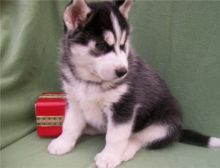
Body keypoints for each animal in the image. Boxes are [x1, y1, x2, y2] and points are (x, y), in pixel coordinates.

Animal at [48, 0, 220, 168]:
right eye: (101, 45)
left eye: (123, 44)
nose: (123, 72)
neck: (91, 81)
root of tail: (179, 130)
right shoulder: (74, 100)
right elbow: (70, 125)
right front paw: (63, 143)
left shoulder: (124, 106)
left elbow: (115, 136)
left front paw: (109, 157)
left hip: (164, 123)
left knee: (138, 139)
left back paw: (125, 151)